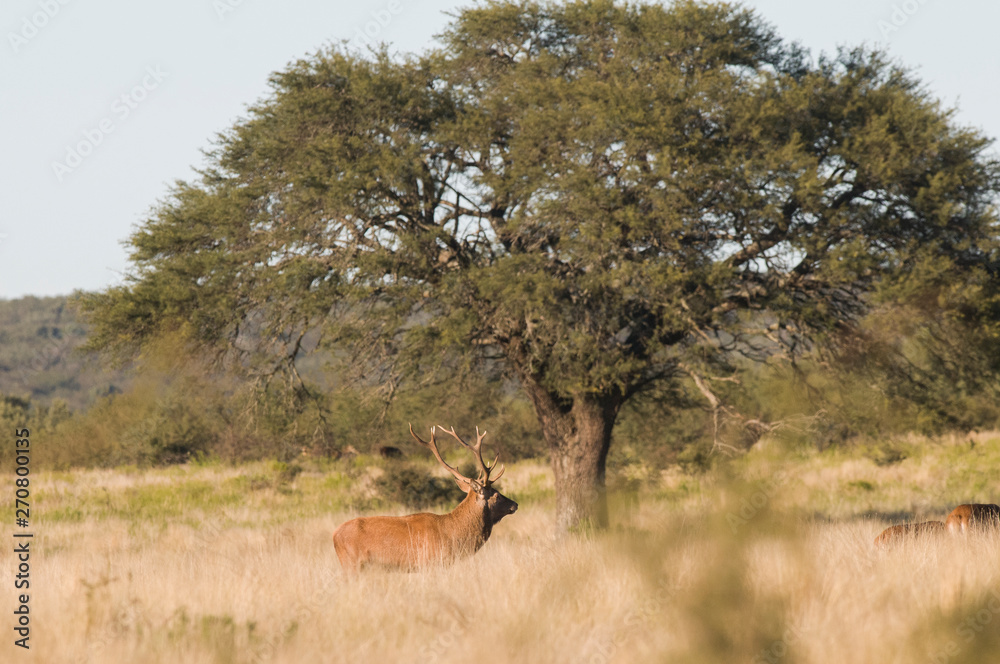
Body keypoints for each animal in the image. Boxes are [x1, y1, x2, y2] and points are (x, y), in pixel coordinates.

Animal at [332, 424, 518, 571]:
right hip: (351, 564)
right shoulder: (431, 563)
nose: (515, 504)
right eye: (496, 494)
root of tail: (334, 535)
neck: (454, 535)